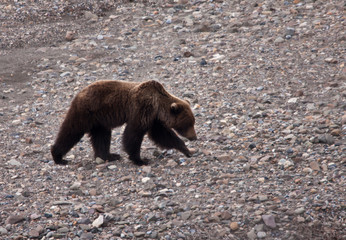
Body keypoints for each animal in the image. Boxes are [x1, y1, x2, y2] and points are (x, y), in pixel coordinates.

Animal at [51, 79, 197, 166]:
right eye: (188, 124)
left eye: (193, 122)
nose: (194, 137)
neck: (158, 106)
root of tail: (79, 93)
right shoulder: (142, 109)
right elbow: (134, 134)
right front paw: (140, 159)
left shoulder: (154, 118)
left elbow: (163, 135)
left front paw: (187, 150)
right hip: (86, 112)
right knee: (71, 131)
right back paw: (58, 156)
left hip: (100, 120)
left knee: (101, 136)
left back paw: (109, 155)